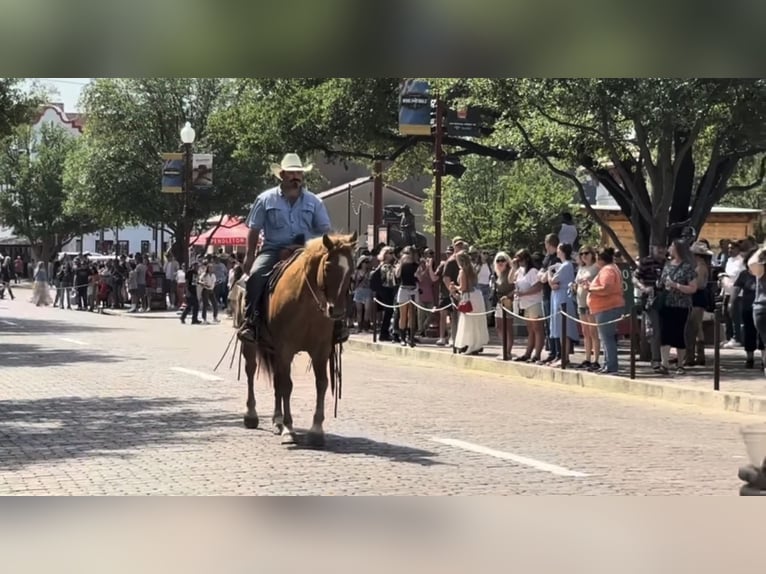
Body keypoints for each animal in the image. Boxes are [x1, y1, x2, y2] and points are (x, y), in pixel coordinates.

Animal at [231, 232, 357, 447]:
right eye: (328, 267)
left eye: (351, 270)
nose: (337, 312)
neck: (307, 305)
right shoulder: (286, 348)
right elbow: (287, 386)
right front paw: (289, 430)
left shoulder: (320, 351)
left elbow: (321, 383)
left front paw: (316, 430)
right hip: (251, 345)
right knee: (251, 371)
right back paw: (252, 415)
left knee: (277, 379)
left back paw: (277, 420)